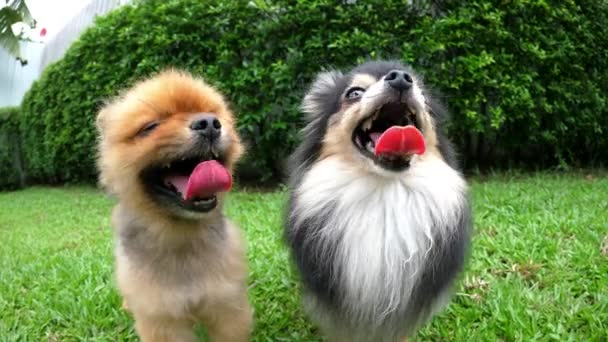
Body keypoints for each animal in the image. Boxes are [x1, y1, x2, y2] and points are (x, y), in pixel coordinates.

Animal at [97, 70, 252, 342]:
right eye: (150, 127)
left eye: (215, 115)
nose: (209, 123)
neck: (181, 236)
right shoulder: (162, 317)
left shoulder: (226, 304)